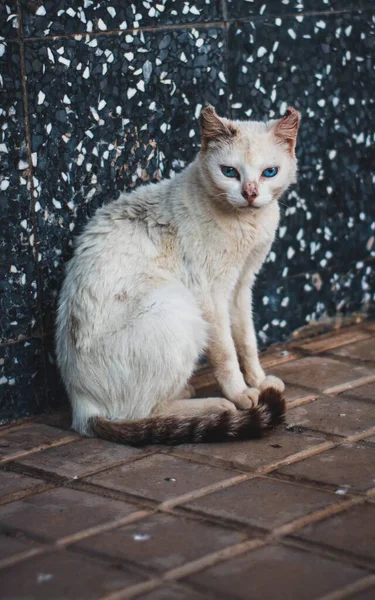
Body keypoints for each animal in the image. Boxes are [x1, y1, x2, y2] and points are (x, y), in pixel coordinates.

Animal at [55, 105, 302, 446]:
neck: (248, 224)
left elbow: (247, 340)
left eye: (269, 172)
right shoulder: (211, 295)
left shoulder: (241, 286)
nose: (250, 193)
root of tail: (81, 408)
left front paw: (260, 380)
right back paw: (214, 406)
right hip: (179, 307)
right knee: (142, 412)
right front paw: (242, 393)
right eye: (230, 172)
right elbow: (226, 352)